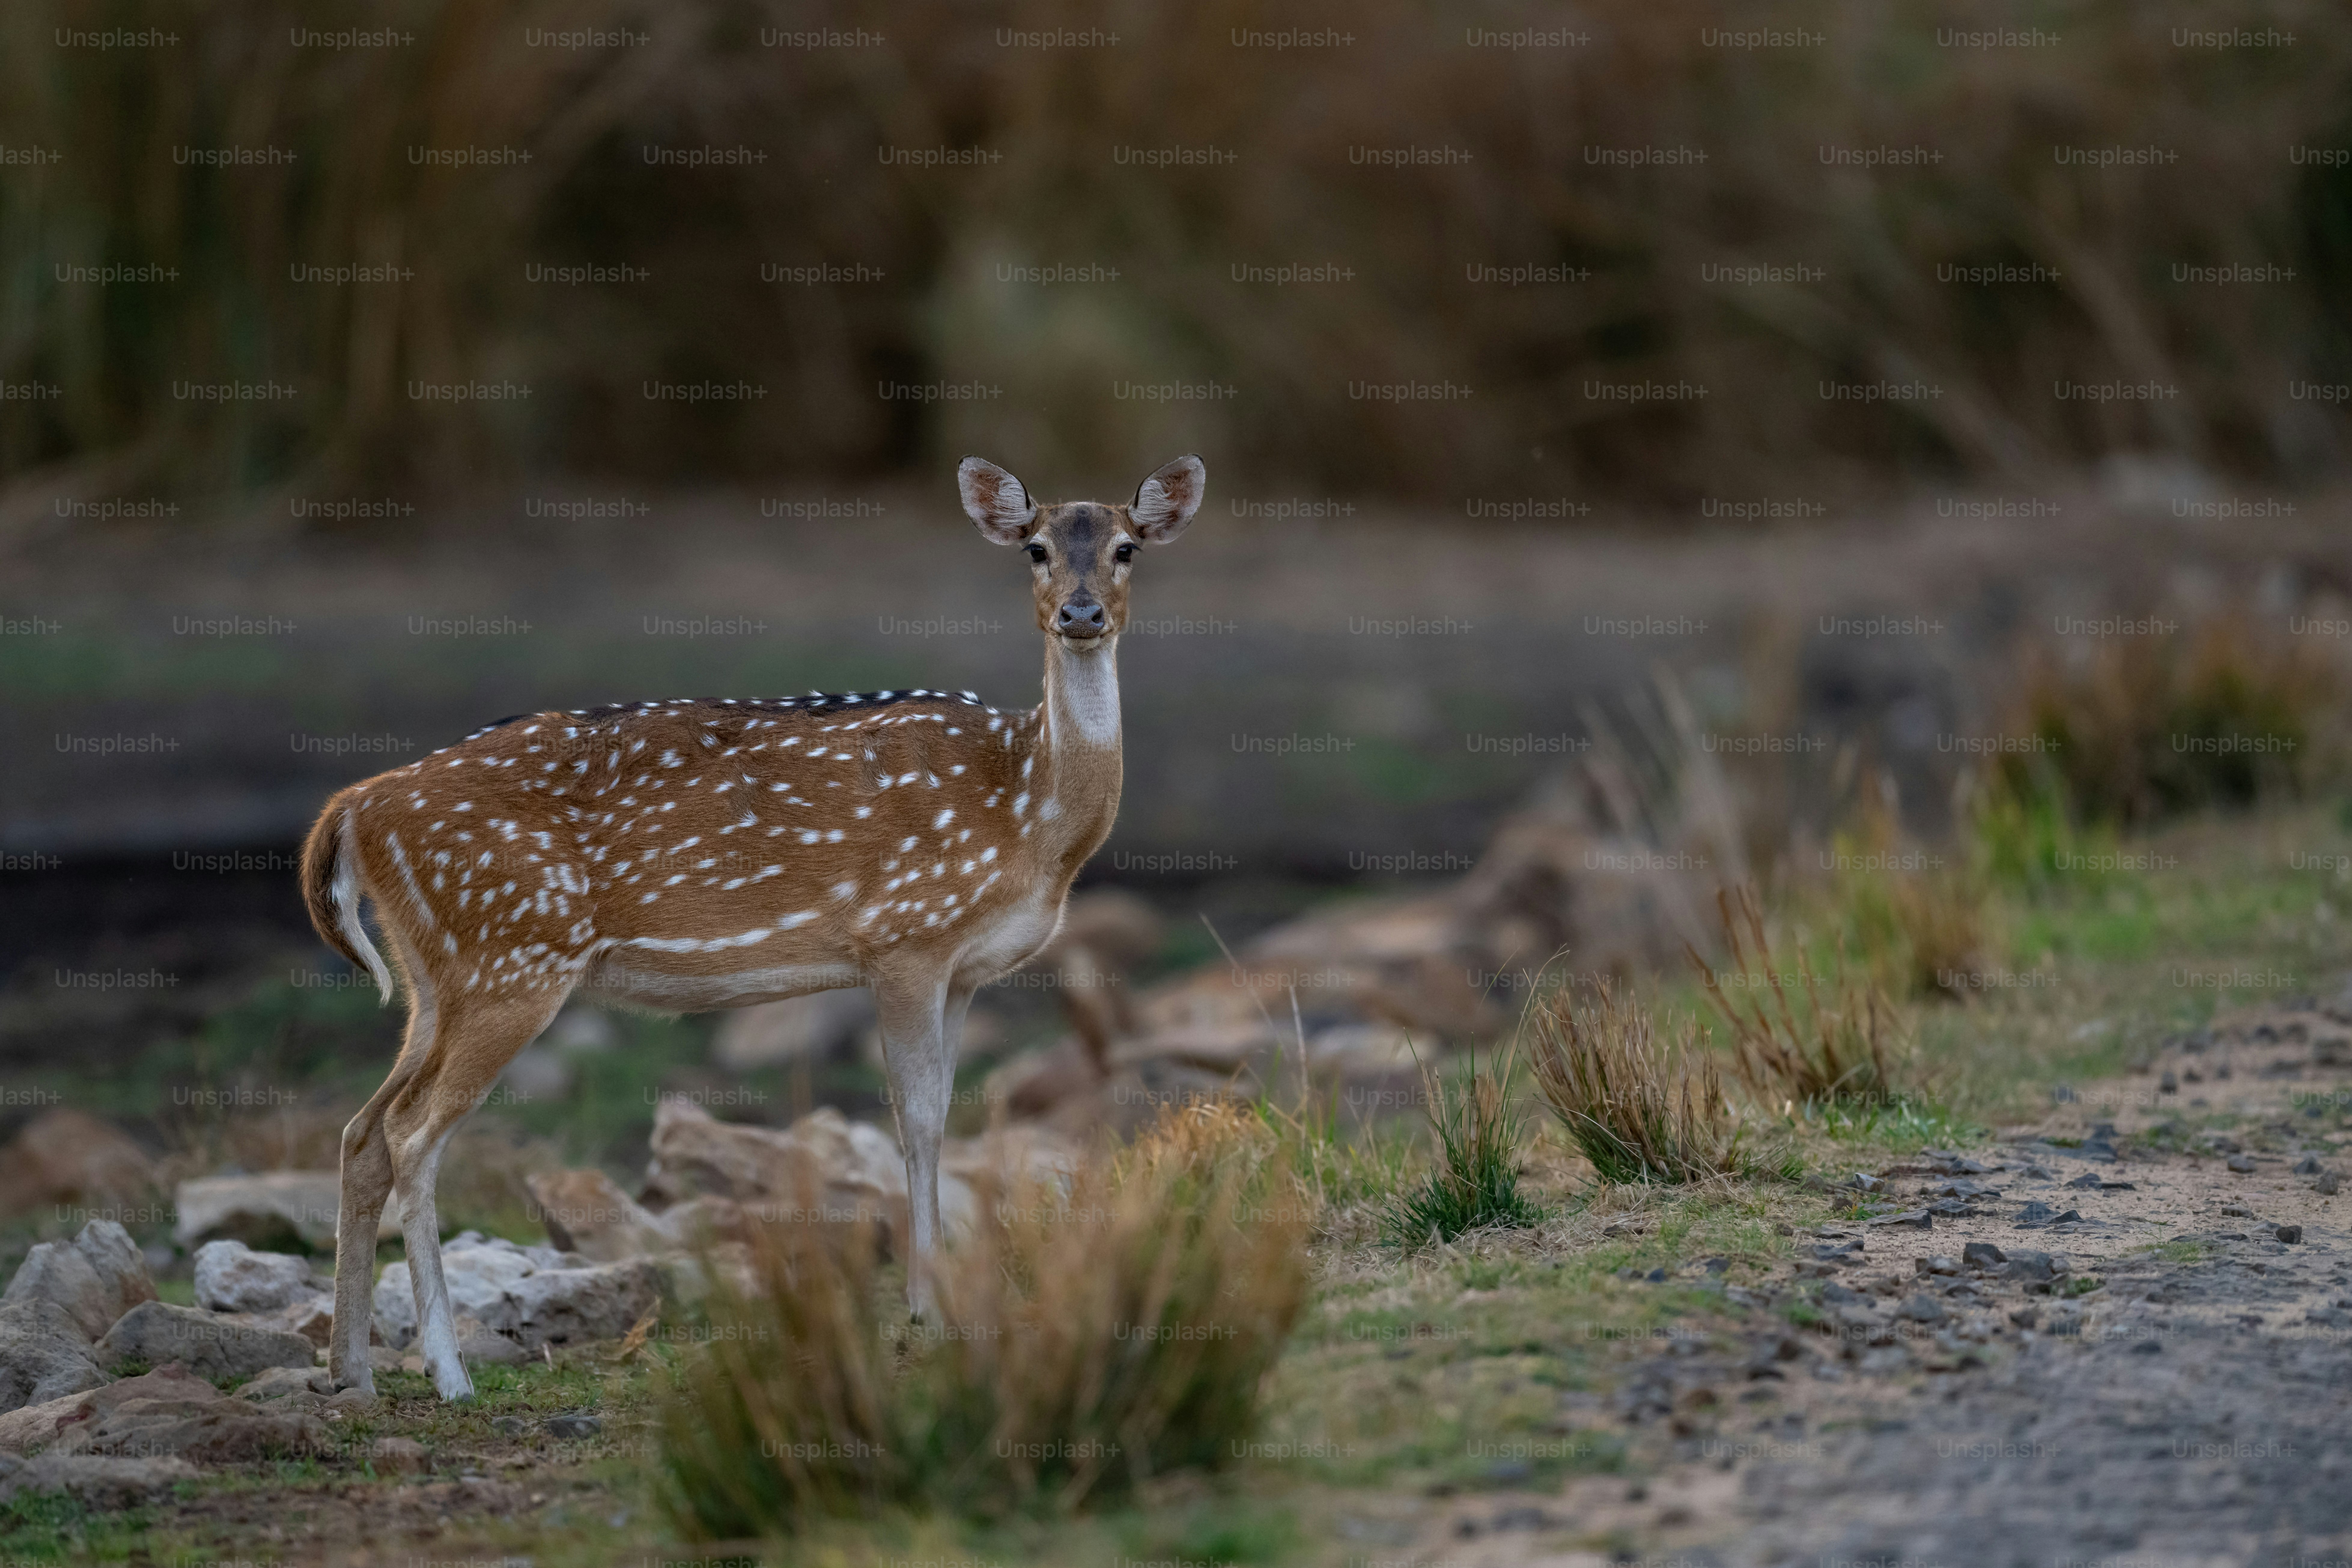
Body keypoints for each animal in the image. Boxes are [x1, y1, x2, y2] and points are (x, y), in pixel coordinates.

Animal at [298, 454, 1206, 1400]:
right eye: (1034, 548)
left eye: (1127, 547)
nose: (1081, 613)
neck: (1029, 811)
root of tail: (354, 806)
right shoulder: (904, 936)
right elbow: (917, 1118)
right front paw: (927, 1310)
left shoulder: (962, 969)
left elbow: (941, 1114)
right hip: (514, 955)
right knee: (412, 1135)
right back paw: (447, 1371)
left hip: (435, 979)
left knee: (362, 1130)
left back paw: (351, 1370)